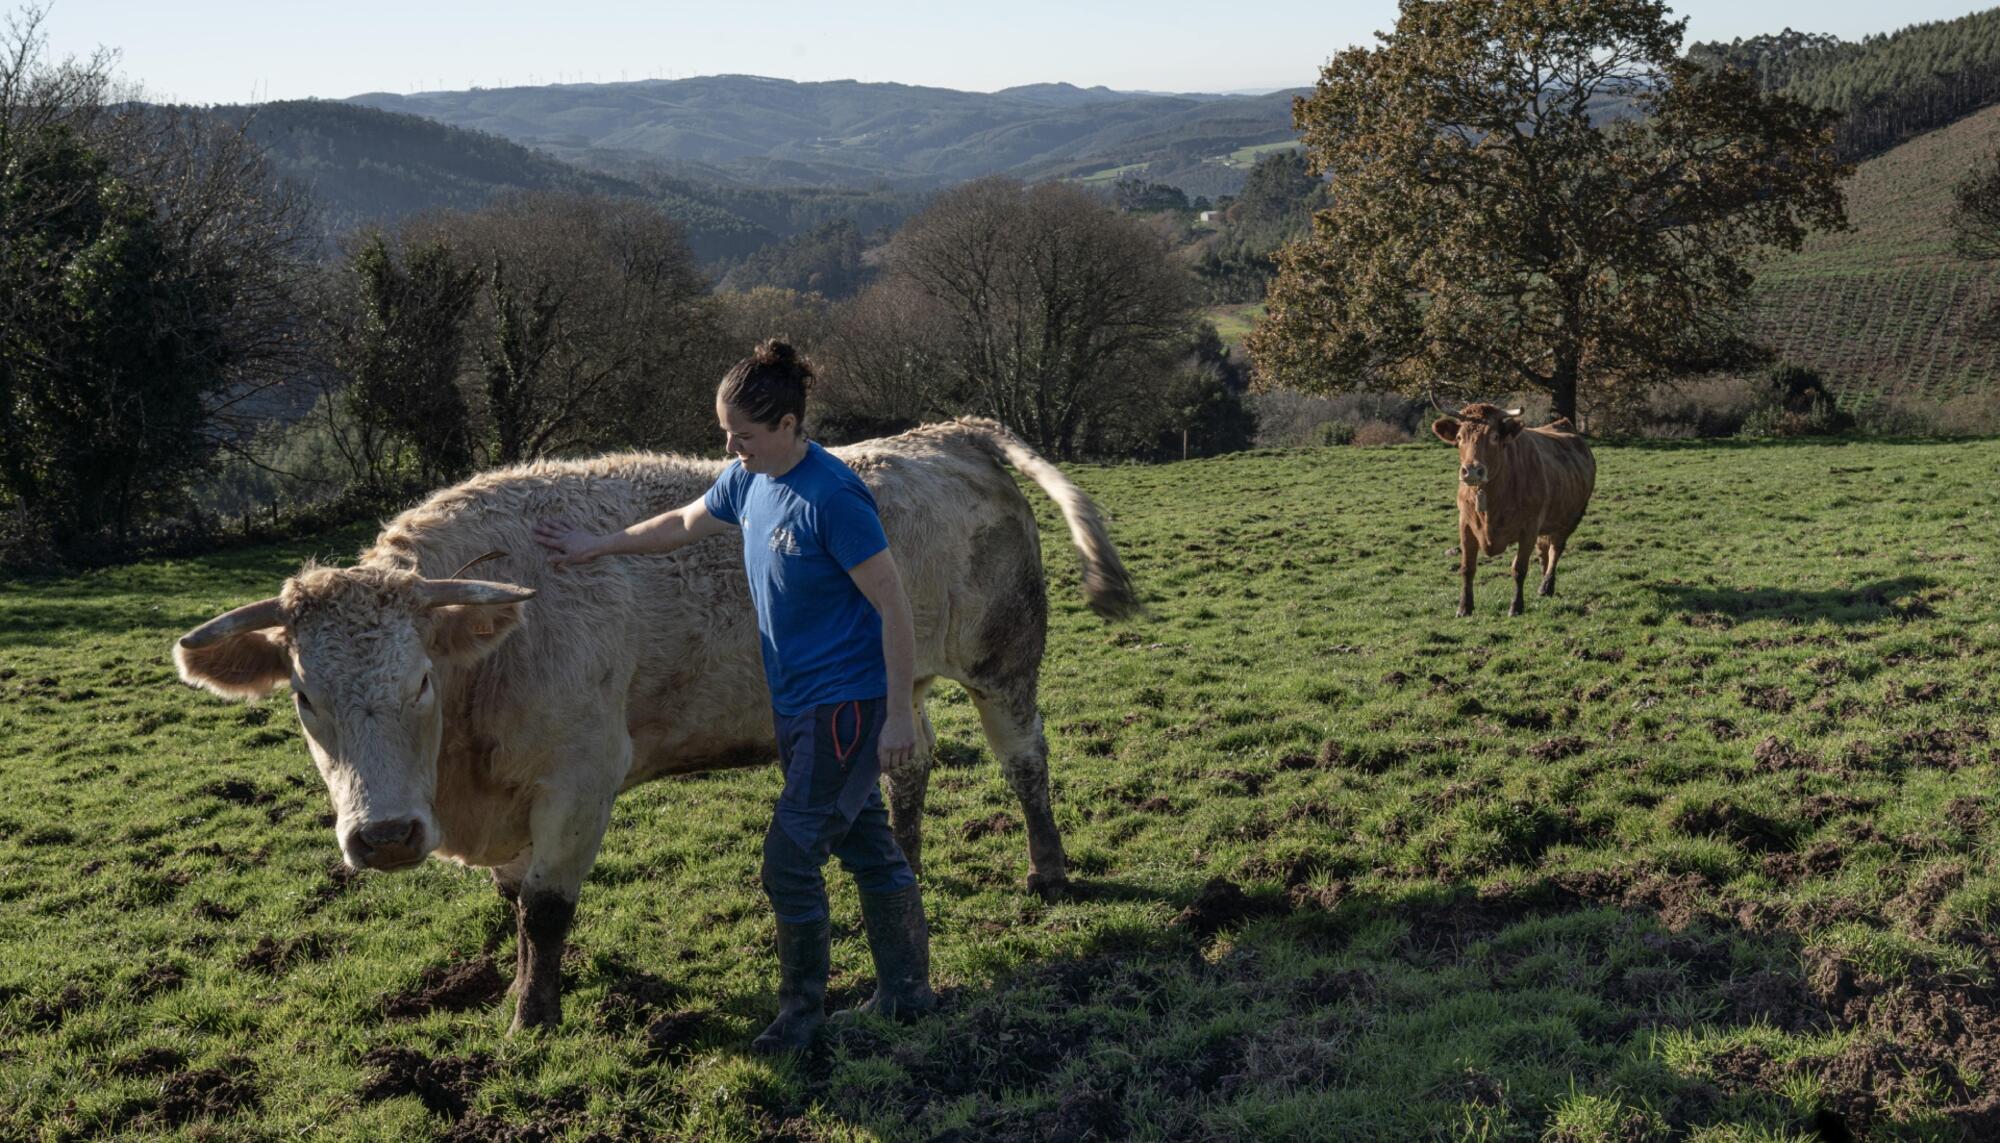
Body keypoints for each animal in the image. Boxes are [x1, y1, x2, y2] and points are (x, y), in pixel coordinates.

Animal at [1432, 403, 1600, 615]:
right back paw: (1543, 584)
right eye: (1460, 437)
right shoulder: (1466, 525)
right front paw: (1464, 608)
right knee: (1543, 549)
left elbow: (1519, 569)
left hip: (1569, 518)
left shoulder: (1529, 528)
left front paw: (1516, 606)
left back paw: (1547, 585)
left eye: (1495, 436)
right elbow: (1467, 568)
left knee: (1556, 548)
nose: (1472, 471)